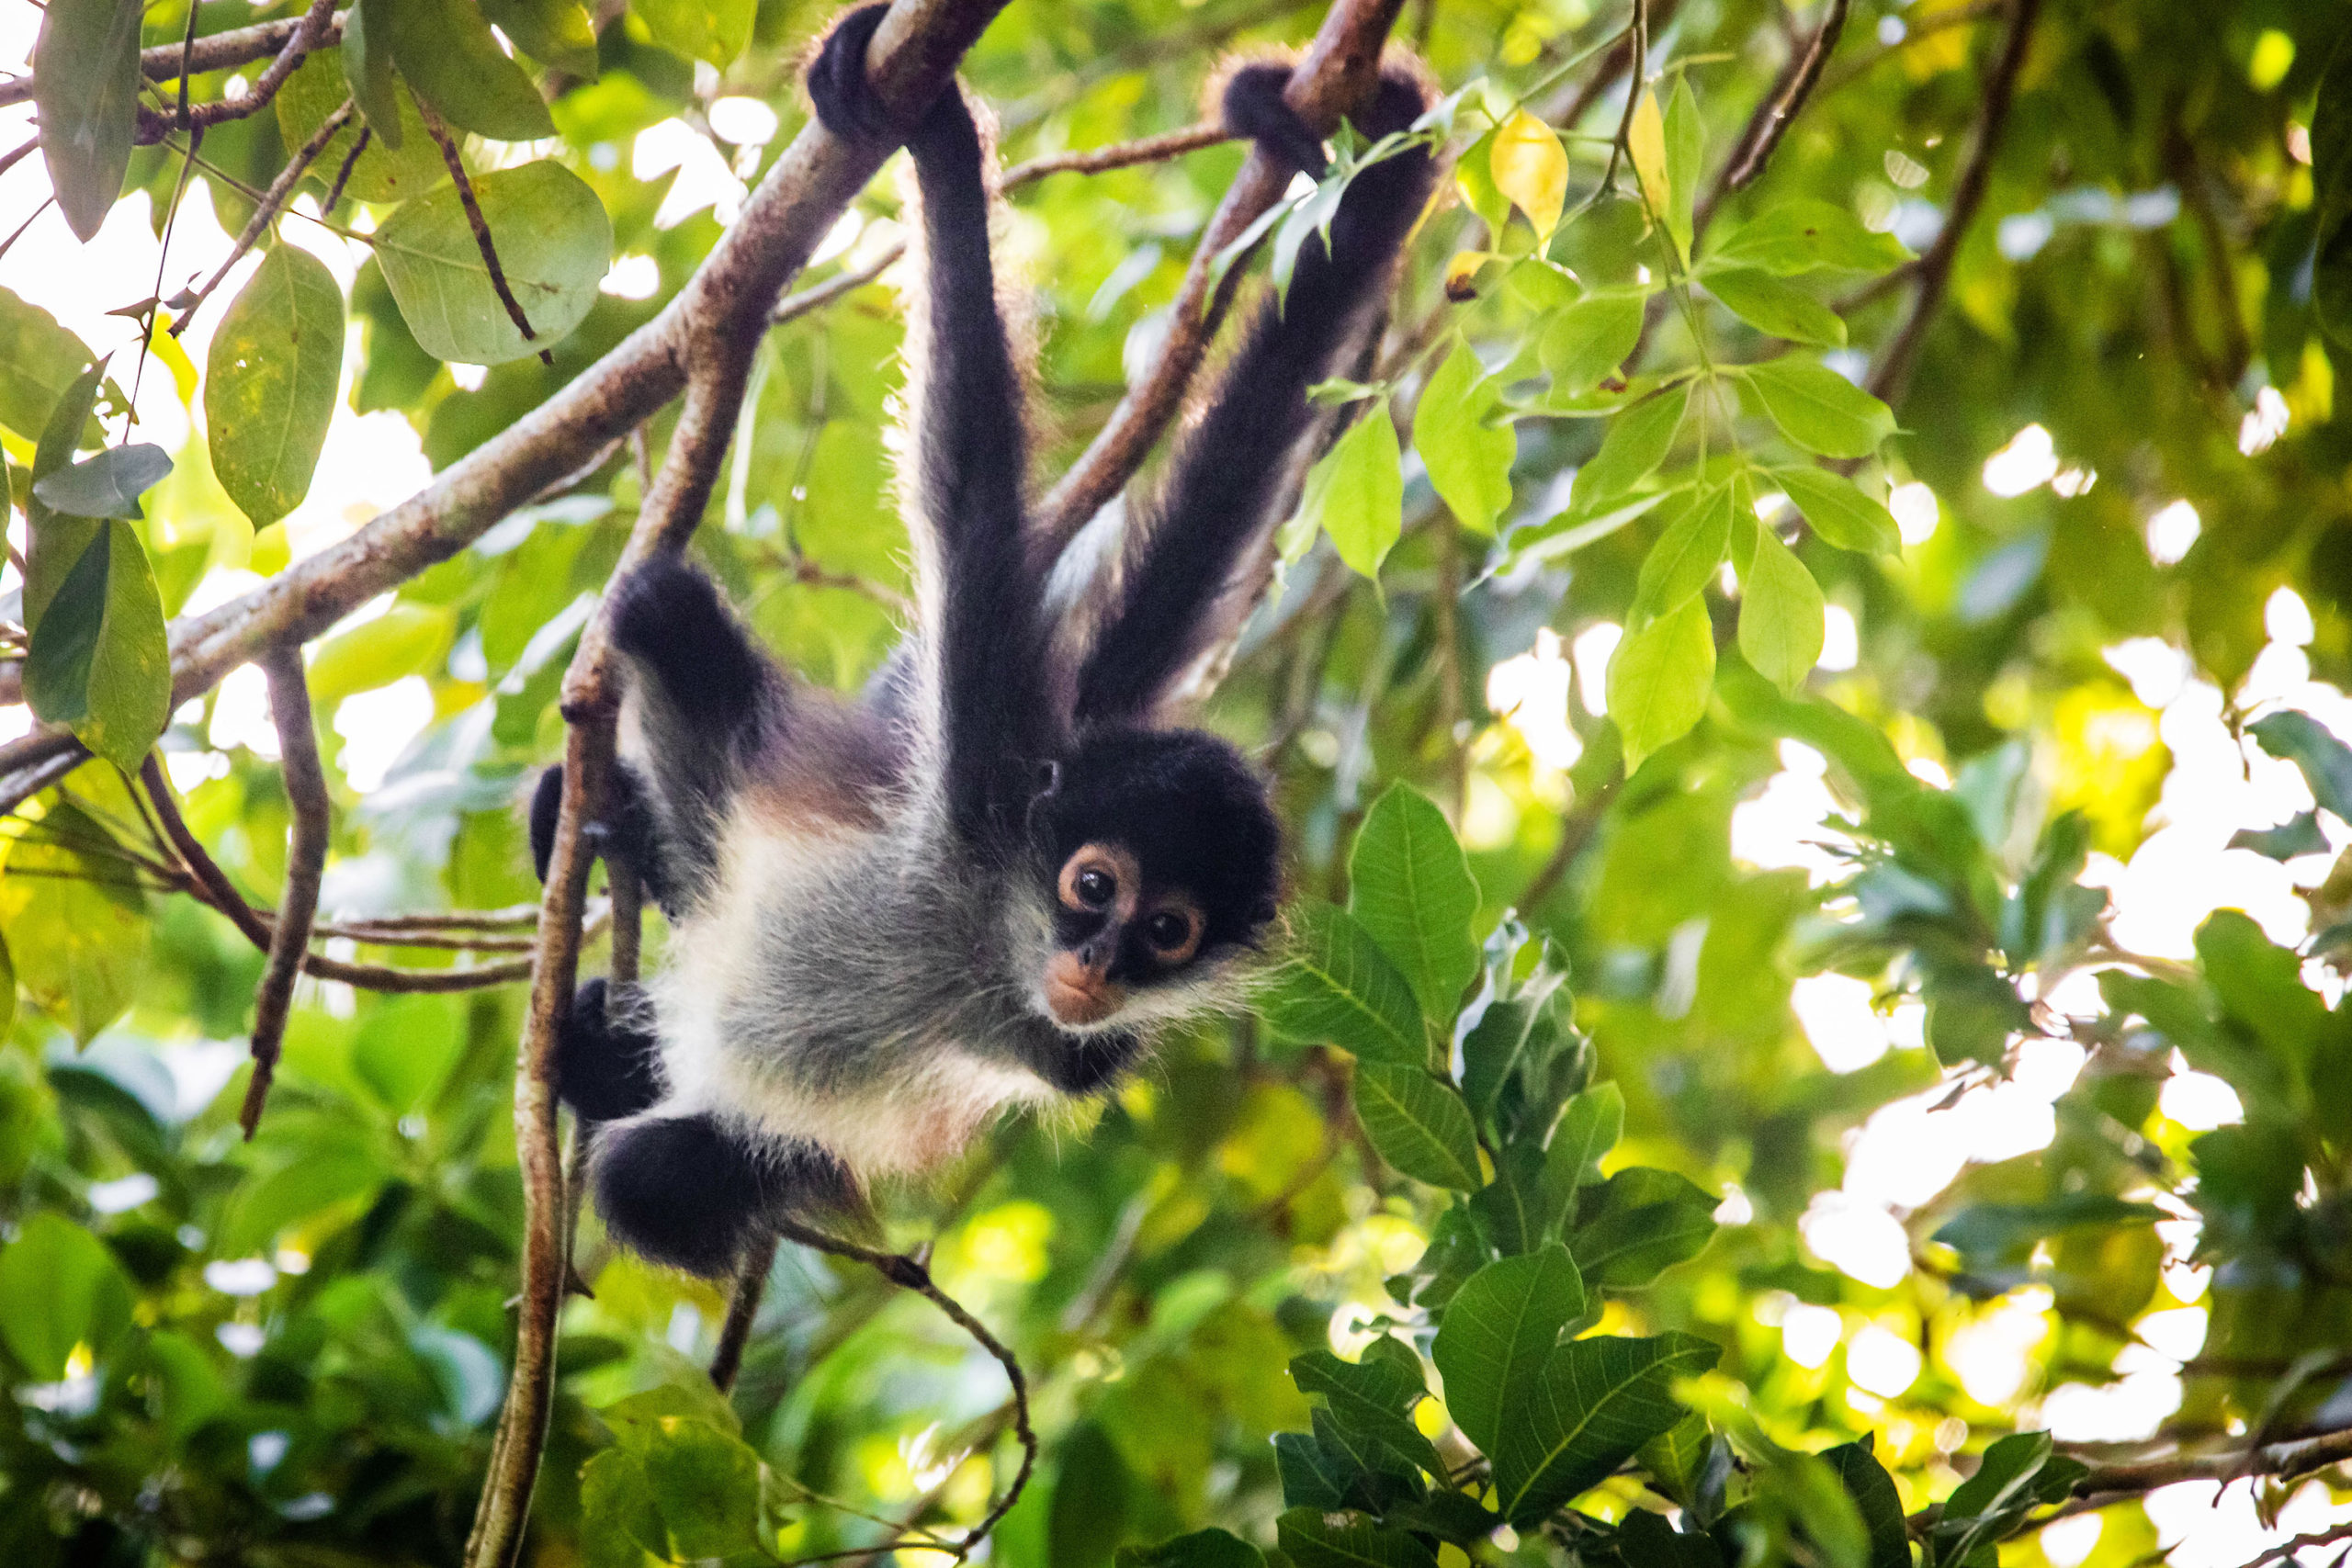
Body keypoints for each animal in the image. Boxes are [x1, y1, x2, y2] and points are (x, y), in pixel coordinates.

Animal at [536, 6, 1439, 1279]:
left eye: (1168, 935)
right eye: (1093, 887)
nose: (1096, 968)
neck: (987, 940)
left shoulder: (1079, 1047)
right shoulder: (978, 749)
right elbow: (964, 488)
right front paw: (945, 147)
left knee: (657, 1176)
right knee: (658, 604)